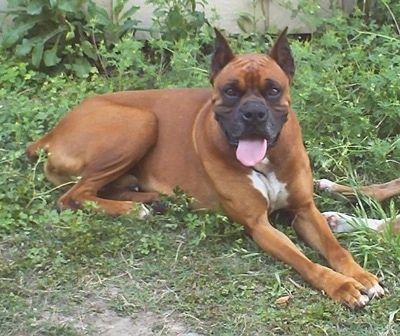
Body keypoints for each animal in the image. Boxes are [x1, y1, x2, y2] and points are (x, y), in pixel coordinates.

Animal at [27, 28, 384, 308]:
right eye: (230, 91)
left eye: (273, 90)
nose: (253, 113)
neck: (265, 160)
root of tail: (54, 131)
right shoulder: (259, 225)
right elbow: (306, 261)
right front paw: (341, 286)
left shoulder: (305, 210)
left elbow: (335, 249)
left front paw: (362, 276)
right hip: (142, 122)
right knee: (73, 196)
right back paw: (133, 210)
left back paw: (151, 200)